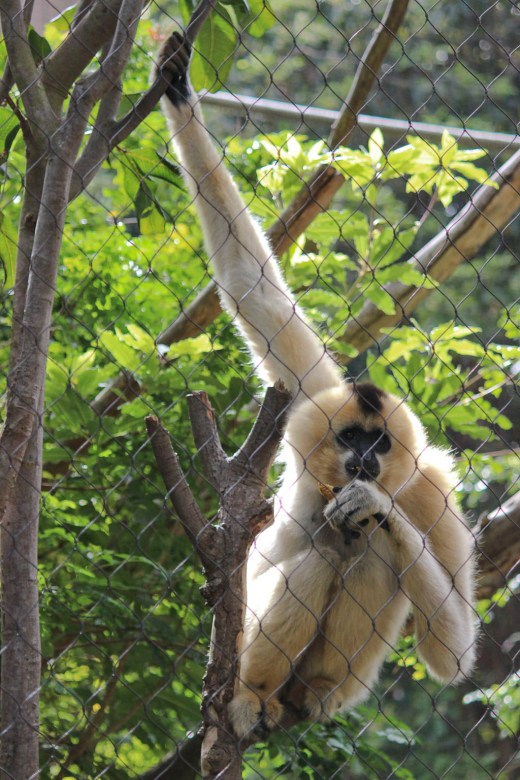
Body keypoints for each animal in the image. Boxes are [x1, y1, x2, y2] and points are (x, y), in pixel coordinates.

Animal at [157, 33, 478, 740]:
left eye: (380, 445)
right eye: (351, 438)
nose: (364, 462)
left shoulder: (432, 488)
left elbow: (453, 647)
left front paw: (373, 503)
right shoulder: (307, 394)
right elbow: (254, 290)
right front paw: (178, 91)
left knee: (373, 552)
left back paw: (315, 691)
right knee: (325, 557)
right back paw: (252, 693)